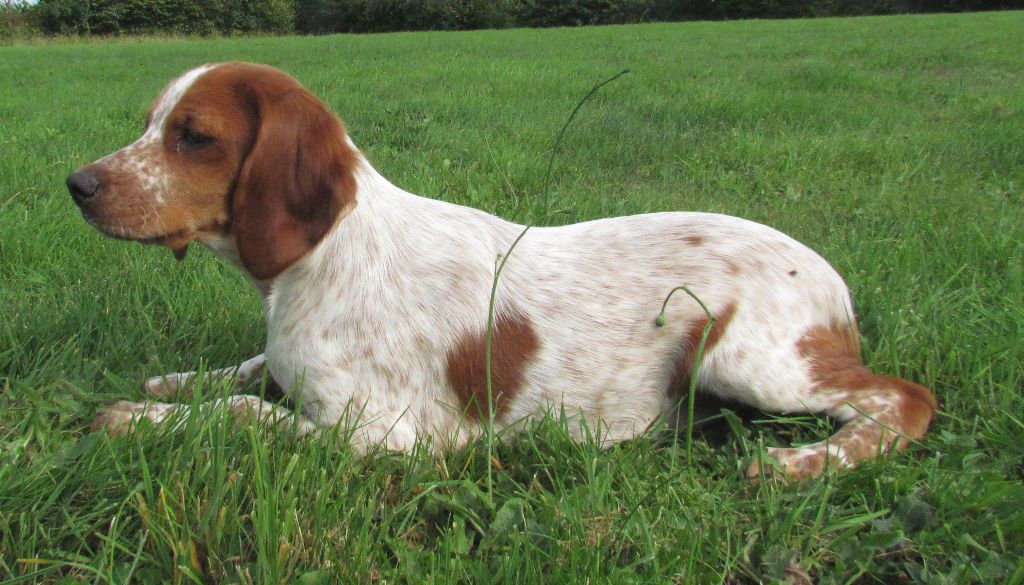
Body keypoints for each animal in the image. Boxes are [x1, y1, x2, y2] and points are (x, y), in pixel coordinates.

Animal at [66, 63, 937, 481]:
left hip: (745, 359)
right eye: (152, 124)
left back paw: (801, 464)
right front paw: (173, 382)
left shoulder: (388, 436)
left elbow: (248, 412)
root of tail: (832, 278)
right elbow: (248, 370)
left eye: (193, 136)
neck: (319, 261)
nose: (77, 183)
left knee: (906, 400)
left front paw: (133, 417)